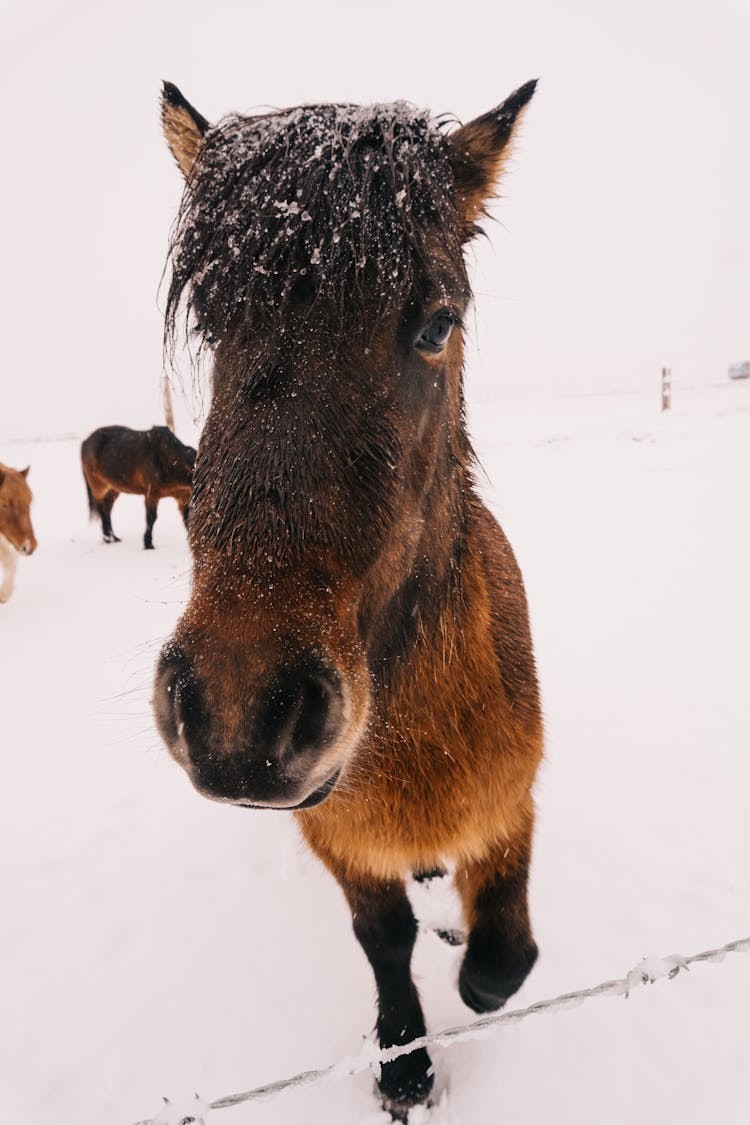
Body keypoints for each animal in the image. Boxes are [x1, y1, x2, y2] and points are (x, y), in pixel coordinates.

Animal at [154, 81, 546, 1116]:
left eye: (436, 322)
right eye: (209, 326)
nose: (239, 716)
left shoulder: (513, 807)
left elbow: (501, 962)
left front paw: (469, 970)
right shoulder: (337, 840)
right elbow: (386, 941)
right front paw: (404, 1061)